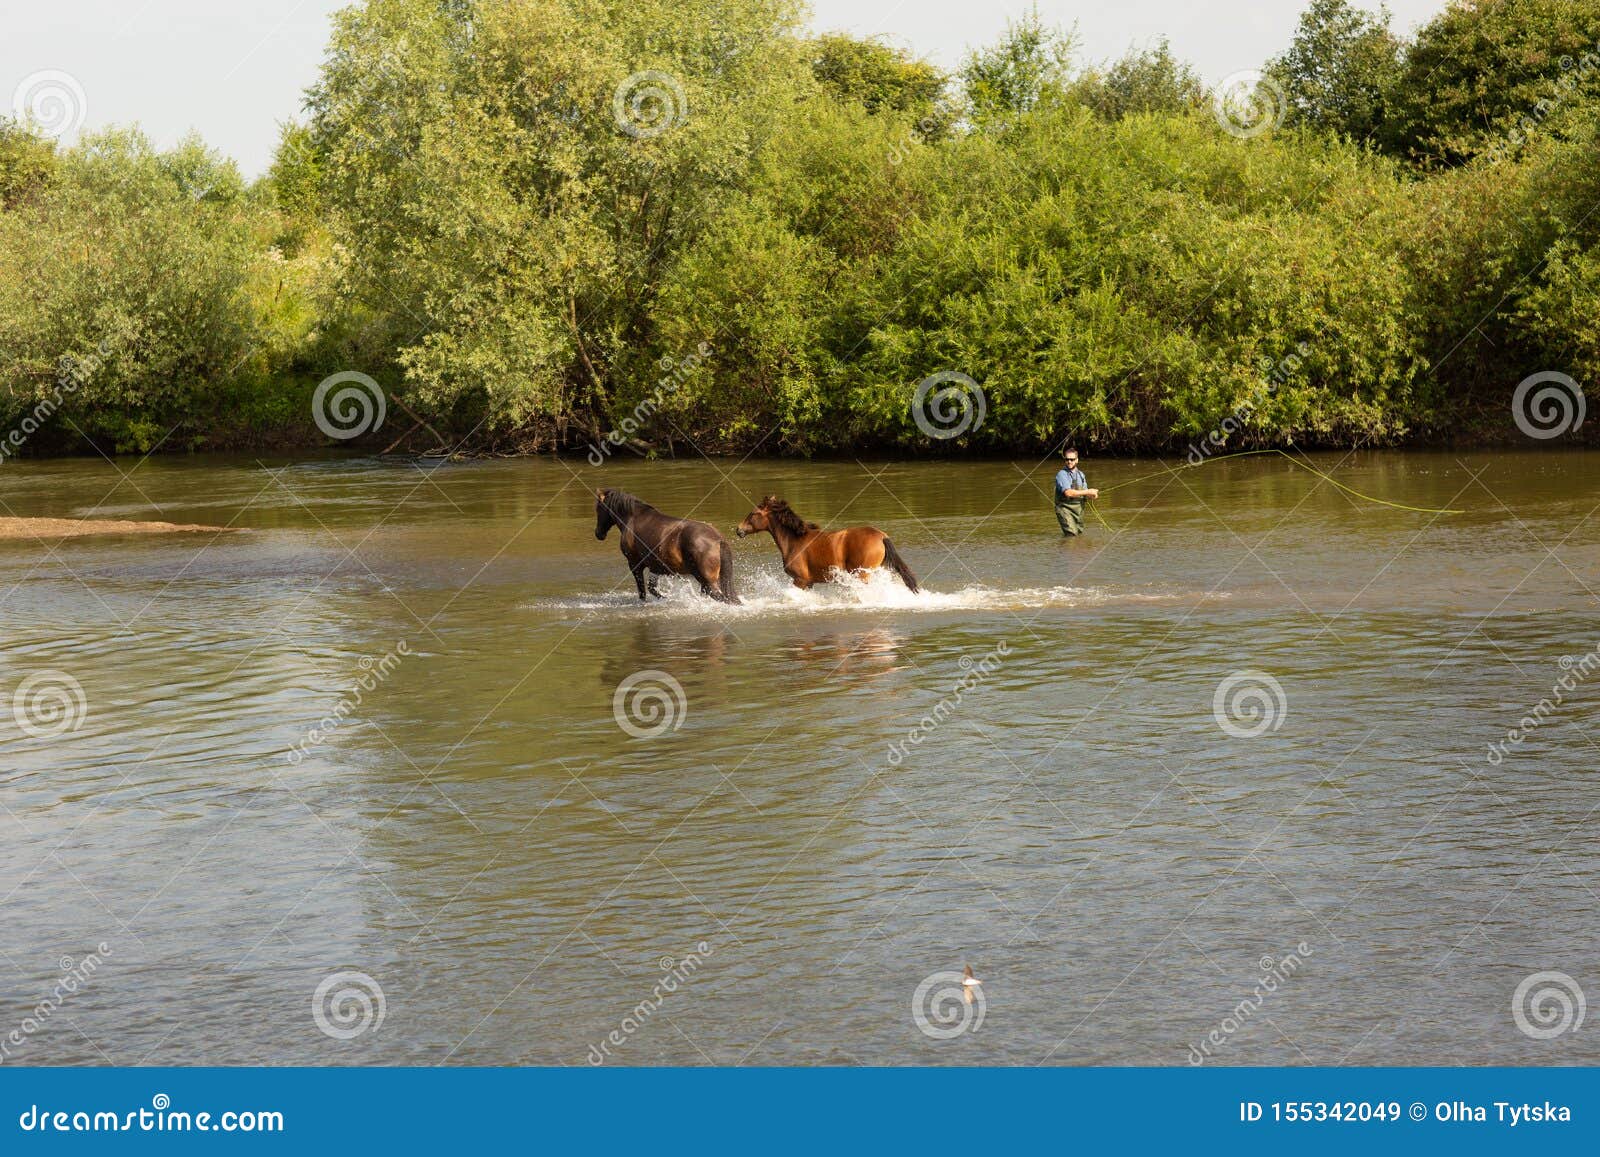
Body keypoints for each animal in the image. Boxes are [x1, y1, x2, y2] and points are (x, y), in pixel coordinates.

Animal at [594, 489, 740, 604]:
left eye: (598, 508)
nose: (598, 534)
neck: (632, 519)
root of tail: (718, 539)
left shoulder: (634, 564)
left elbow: (643, 592)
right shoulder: (656, 566)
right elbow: (652, 588)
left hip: (707, 580)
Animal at [735, 495, 919, 592]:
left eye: (753, 513)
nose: (738, 530)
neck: (794, 541)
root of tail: (881, 536)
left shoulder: (800, 581)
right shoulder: (809, 583)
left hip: (862, 575)